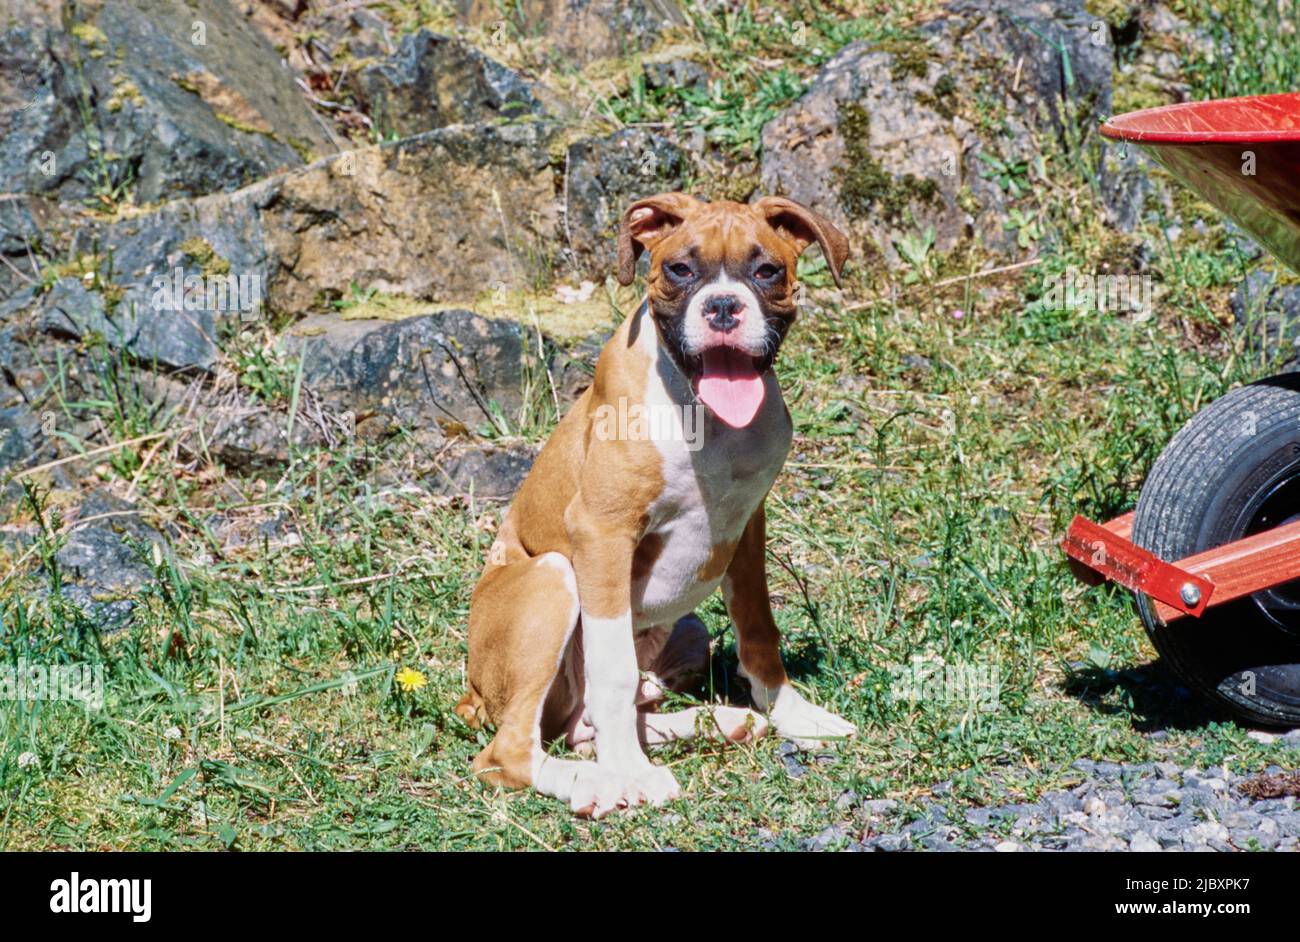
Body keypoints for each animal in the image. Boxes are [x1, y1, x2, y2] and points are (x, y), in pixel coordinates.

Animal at [454, 192, 852, 815]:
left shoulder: (747, 525)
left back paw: (717, 722)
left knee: (579, 725)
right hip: (552, 579)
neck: (706, 418)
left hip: (686, 624)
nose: (722, 307)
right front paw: (629, 773)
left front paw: (793, 715)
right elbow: (612, 669)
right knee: (511, 752)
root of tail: (472, 691)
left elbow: (759, 629)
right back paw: (596, 781)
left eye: (767, 271)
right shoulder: (602, 531)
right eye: (680, 270)